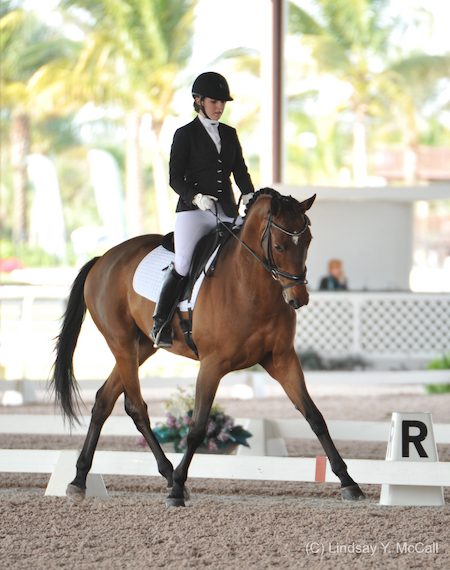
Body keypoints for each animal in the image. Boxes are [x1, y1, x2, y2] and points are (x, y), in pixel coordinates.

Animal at [51, 189, 366, 504]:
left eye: (308, 241)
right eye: (278, 245)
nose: (298, 299)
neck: (249, 286)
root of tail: (103, 258)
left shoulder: (282, 359)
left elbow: (315, 416)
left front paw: (349, 482)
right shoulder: (212, 365)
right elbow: (197, 428)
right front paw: (178, 487)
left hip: (142, 348)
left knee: (104, 400)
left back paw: (80, 479)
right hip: (122, 343)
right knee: (136, 407)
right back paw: (167, 476)